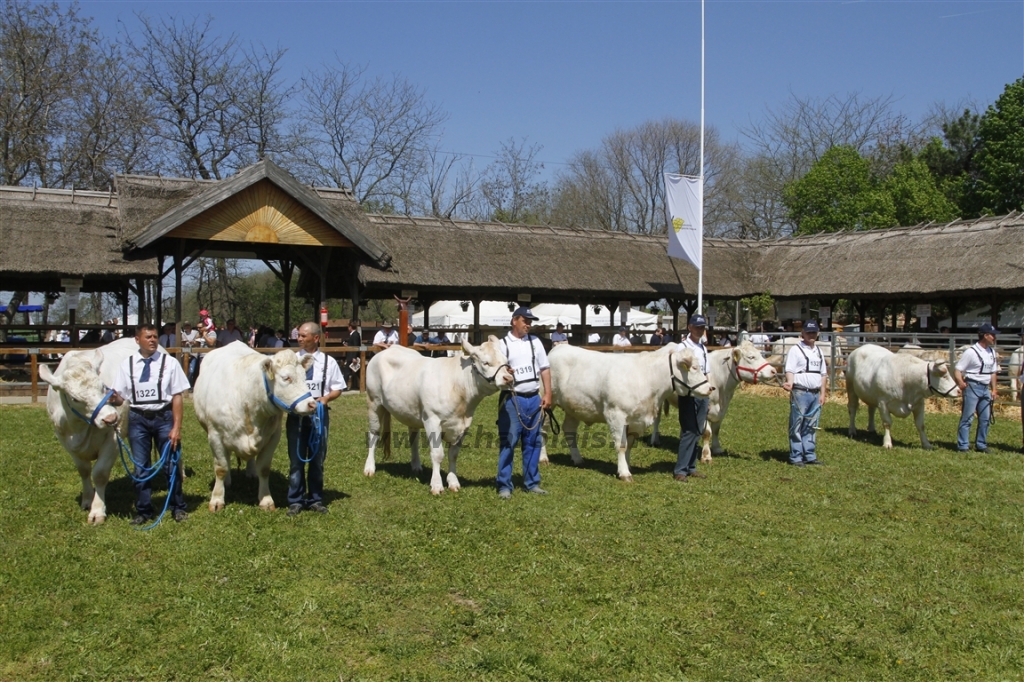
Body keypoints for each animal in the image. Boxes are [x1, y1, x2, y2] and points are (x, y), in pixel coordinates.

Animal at [38, 337, 139, 522]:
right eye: (75, 398)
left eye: (103, 387)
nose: (110, 418)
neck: (79, 428)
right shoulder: (65, 441)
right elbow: (83, 470)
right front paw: (87, 499)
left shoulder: (113, 440)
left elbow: (100, 473)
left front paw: (97, 510)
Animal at [192, 339, 315, 509]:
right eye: (286, 378)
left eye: (304, 377)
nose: (312, 404)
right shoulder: (215, 436)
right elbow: (221, 468)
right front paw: (217, 500)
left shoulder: (273, 436)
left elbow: (263, 469)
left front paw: (266, 500)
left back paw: (251, 473)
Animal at [364, 335, 516, 491]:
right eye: (486, 363)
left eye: (505, 361)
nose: (509, 378)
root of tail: (389, 349)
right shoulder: (432, 420)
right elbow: (437, 454)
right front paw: (437, 485)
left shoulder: (464, 425)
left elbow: (453, 455)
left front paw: (453, 482)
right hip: (374, 402)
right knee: (374, 434)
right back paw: (369, 468)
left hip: (410, 412)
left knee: (413, 438)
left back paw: (416, 466)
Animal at [544, 342, 712, 481]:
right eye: (694, 368)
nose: (711, 388)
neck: (648, 378)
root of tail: (559, 347)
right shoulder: (616, 415)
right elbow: (621, 445)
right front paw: (624, 473)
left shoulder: (636, 419)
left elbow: (630, 444)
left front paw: (628, 465)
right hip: (547, 404)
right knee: (543, 430)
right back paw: (543, 459)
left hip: (574, 407)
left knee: (569, 430)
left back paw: (577, 459)